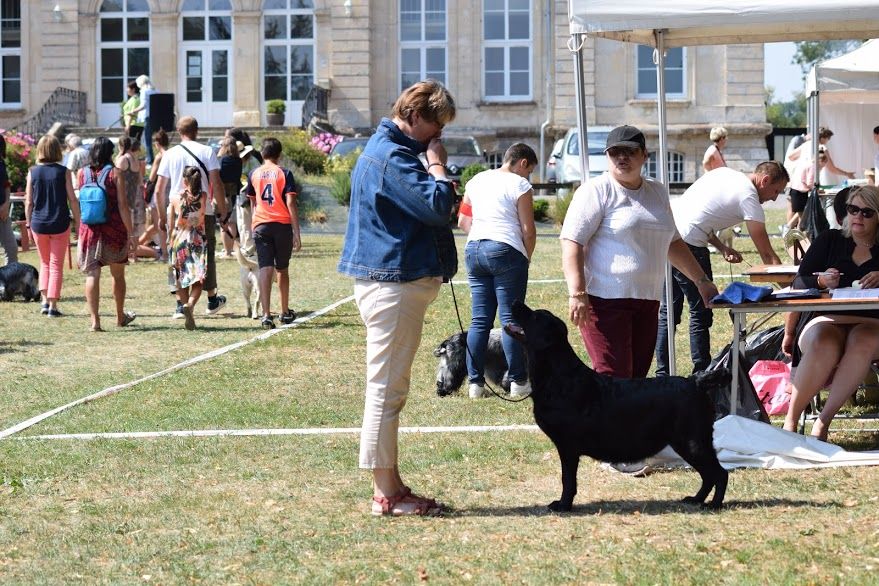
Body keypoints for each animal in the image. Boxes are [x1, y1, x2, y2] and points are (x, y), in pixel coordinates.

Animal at [506, 302, 732, 512]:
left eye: (535, 317)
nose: (515, 302)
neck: (558, 377)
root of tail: (696, 381)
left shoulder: (567, 445)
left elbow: (567, 479)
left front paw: (563, 505)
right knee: (708, 475)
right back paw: (696, 499)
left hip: (692, 441)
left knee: (719, 473)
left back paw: (714, 505)